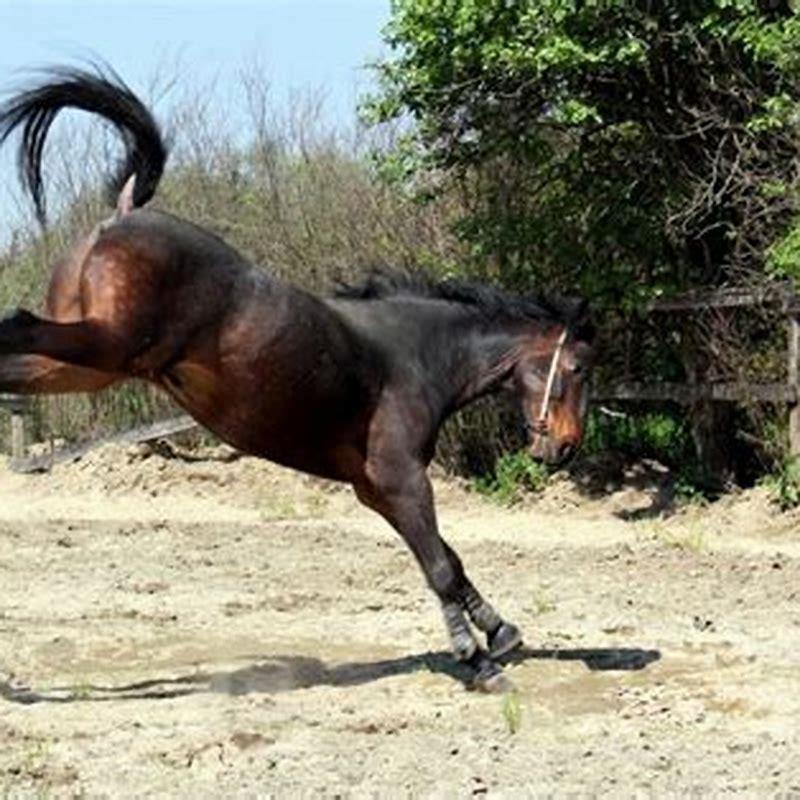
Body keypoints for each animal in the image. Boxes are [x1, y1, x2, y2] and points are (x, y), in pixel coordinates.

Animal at [0, 66, 595, 691]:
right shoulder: (402, 478)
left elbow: (447, 558)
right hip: (102, 344)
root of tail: (121, 214)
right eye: (578, 369)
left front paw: (501, 631)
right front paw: (478, 661)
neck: (416, 354)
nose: (565, 448)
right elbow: (437, 564)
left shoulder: (375, 489)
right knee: (15, 326)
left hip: (84, 364)